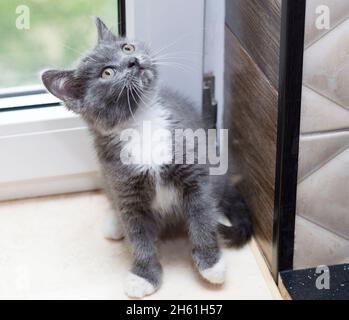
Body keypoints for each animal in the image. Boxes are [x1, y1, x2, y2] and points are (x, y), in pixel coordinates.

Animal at [42, 16, 251, 298]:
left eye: (127, 47)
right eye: (107, 73)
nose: (133, 61)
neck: (141, 123)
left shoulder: (193, 172)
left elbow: (201, 217)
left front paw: (210, 264)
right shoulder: (126, 189)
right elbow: (138, 237)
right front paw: (144, 276)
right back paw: (115, 224)